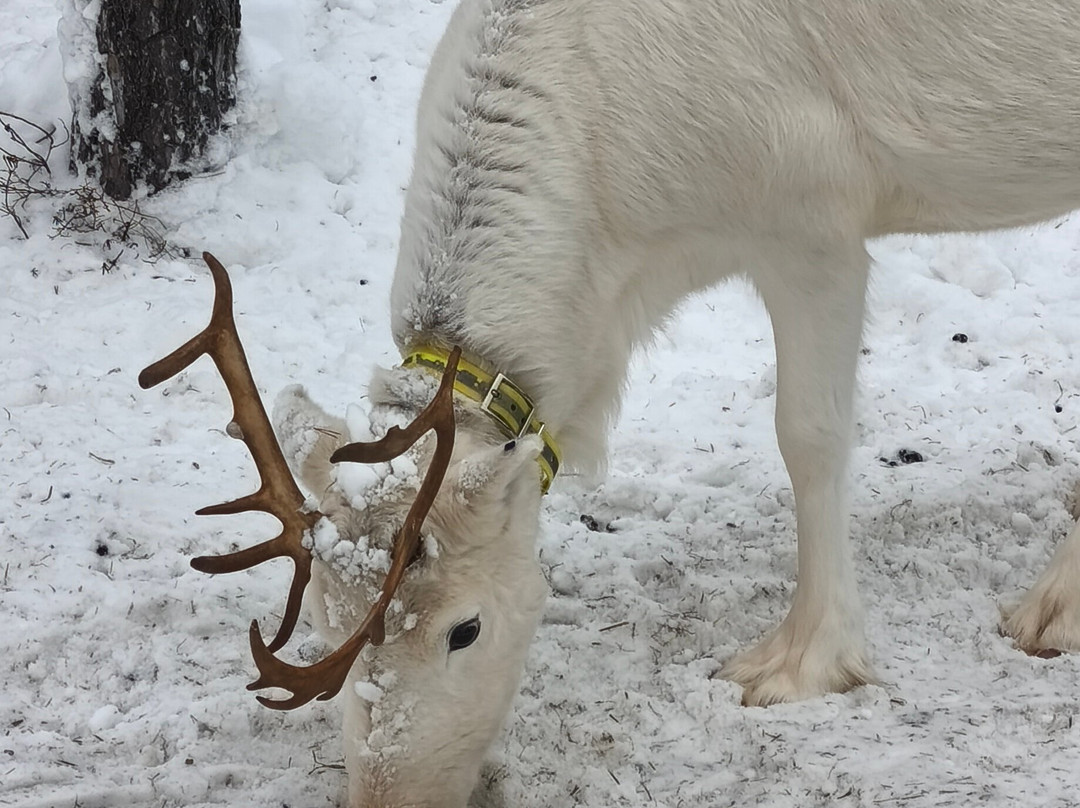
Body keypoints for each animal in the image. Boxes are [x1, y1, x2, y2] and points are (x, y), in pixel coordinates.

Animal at [140, 1, 1080, 806]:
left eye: (466, 630)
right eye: (323, 621)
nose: (387, 799)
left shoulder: (816, 220)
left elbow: (807, 437)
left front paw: (804, 662)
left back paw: (1053, 608)